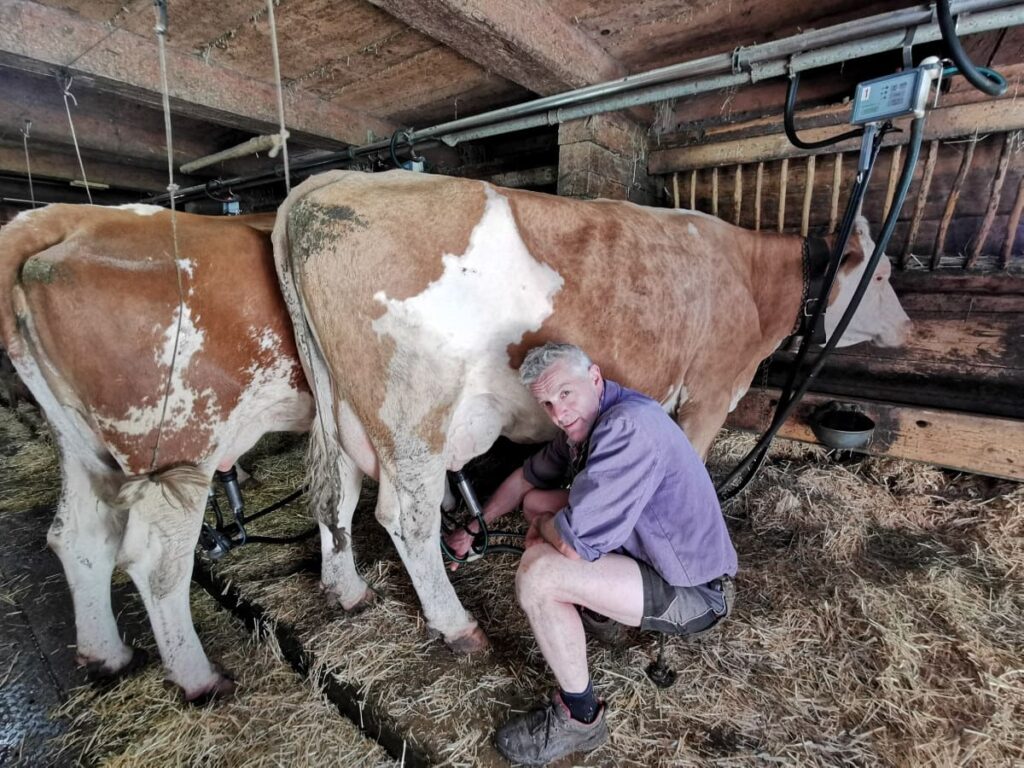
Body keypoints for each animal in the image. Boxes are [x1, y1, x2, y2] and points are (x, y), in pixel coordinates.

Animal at [0, 205, 325, 704]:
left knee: (77, 536)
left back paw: (108, 657)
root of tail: (69, 216)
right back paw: (199, 678)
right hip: (177, 444)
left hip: (79, 445)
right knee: (154, 561)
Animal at [274, 169, 913, 655]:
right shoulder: (709, 390)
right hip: (413, 417)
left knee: (335, 497)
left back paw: (348, 590)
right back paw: (458, 628)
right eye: (881, 273)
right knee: (406, 518)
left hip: (340, 412)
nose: (908, 328)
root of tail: (332, 181)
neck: (749, 279)